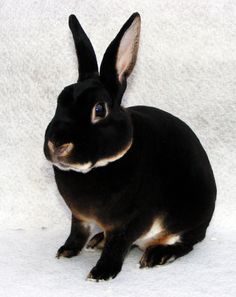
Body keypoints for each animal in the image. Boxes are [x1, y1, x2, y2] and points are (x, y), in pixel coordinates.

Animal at [43, 13, 216, 280]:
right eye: (60, 99)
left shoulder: (131, 221)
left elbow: (119, 245)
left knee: (185, 243)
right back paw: (98, 240)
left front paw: (101, 273)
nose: (57, 144)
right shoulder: (78, 216)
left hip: (189, 218)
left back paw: (158, 255)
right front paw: (66, 251)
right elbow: (77, 233)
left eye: (99, 109)